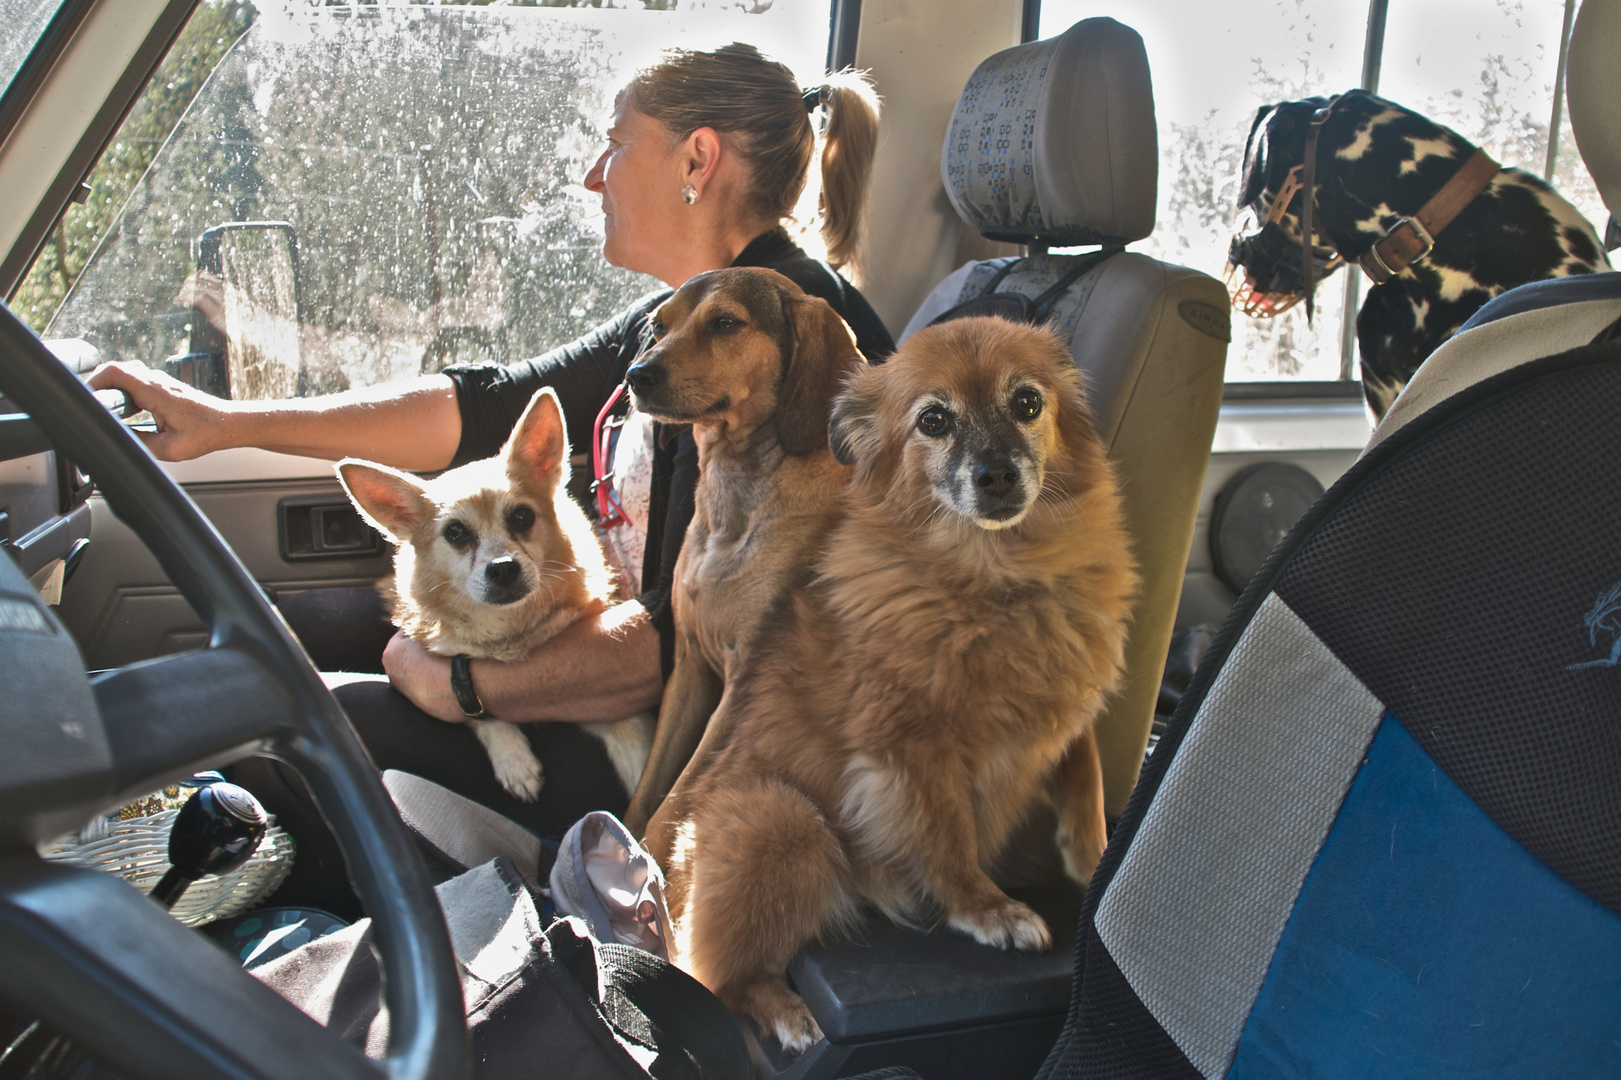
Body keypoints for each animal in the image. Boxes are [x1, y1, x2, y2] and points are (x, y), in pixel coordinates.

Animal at [335, 387, 651, 797]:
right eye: (455, 532)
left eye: (522, 517)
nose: (502, 568)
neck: (510, 629)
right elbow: (481, 715)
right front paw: (513, 759)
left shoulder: (619, 714)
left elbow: (642, 769)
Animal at [619, 267, 875, 830]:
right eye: (659, 325)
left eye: (724, 323)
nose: (636, 374)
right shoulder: (689, 669)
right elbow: (647, 794)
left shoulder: (742, 689)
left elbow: (674, 804)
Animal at [648, 316, 1141, 1044]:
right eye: (933, 420)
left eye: (1027, 403)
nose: (996, 474)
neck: (998, 577)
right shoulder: (909, 750)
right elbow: (948, 837)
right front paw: (985, 908)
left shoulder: (1065, 701)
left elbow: (1085, 776)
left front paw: (1094, 860)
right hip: (783, 820)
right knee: (723, 979)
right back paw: (788, 1013)